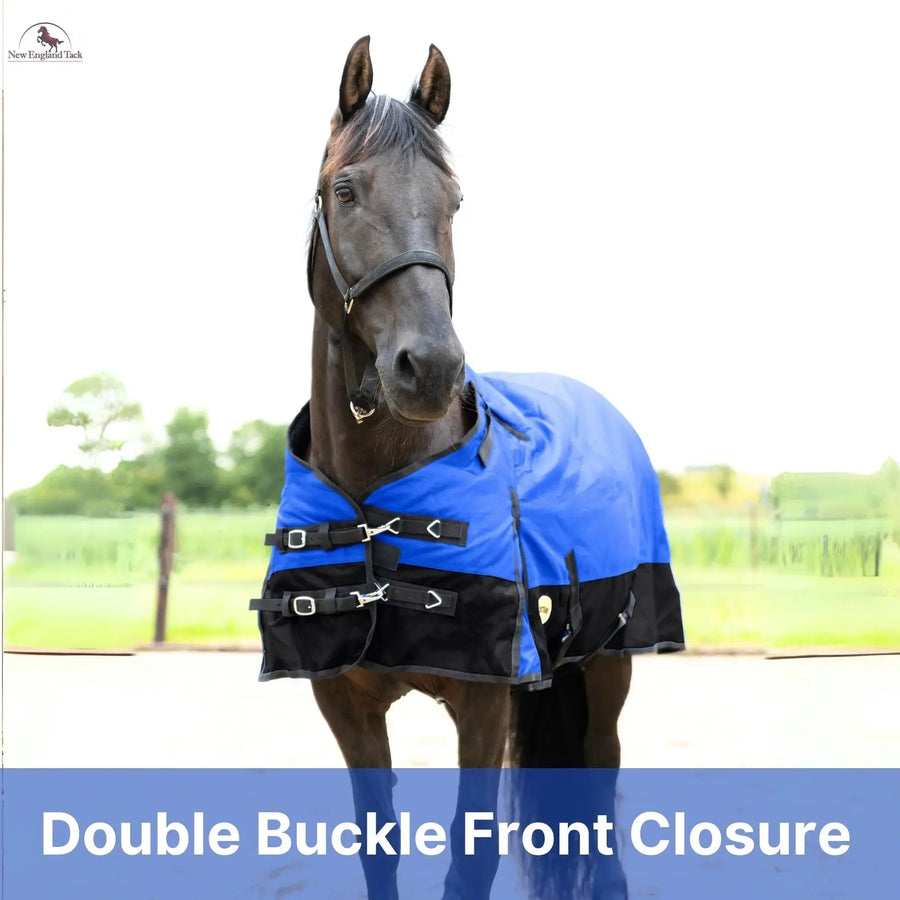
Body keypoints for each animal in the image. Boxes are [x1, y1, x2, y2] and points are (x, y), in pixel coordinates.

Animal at [252, 36, 684, 899]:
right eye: (345, 190)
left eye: (454, 200)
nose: (431, 369)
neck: (376, 495)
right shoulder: (344, 705)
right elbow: (378, 847)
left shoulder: (484, 706)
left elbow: (469, 857)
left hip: (609, 672)